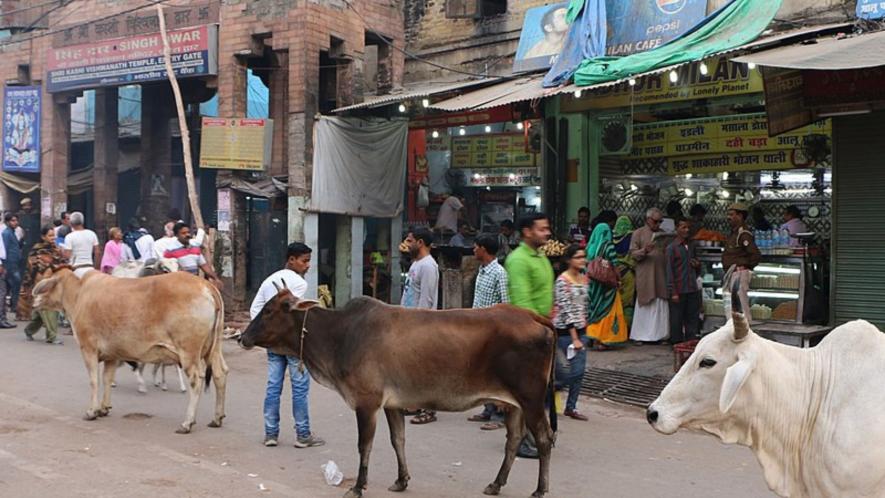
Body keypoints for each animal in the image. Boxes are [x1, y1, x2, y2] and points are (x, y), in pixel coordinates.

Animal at [34, 266, 228, 434]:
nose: (33, 299)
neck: (79, 292)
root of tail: (206, 285)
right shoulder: (112, 355)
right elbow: (107, 378)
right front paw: (104, 408)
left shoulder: (88, 348)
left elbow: (94, 381)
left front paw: (91, 411)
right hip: (213, 349)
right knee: (220, 374)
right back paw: (217, 418)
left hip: (189, 352)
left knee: (196, 380)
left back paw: (187, 423)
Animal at [235, 290, 552, 498]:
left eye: (269, 310)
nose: (242, 337)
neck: (340, 335)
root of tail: (534, 316)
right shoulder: (392, 404)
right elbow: (397, 440)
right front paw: (401, 481)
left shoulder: (366, 402)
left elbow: (365, 445)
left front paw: (358, 487)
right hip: (513, 404)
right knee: (513, 440)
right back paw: (496, 484)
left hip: (532, 400)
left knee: (544, 440)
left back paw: (540, 489)